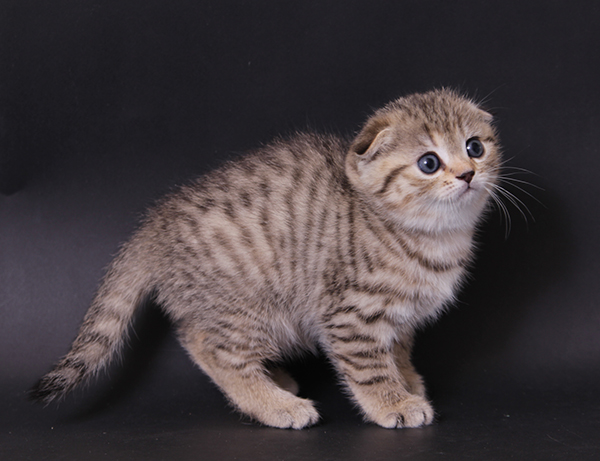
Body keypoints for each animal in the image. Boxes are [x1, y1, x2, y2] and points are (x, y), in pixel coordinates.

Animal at [31, 89, 501, 429]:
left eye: (475, 147)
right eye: (429, 162)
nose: (467, 174)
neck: (430, 236)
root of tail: (155, 223)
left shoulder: (399, 317)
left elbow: (397, 350)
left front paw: (408, 382)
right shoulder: (348, 314)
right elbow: (369, 366)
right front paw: (393, 403)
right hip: (248, 307)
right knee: (208, 346)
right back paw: (277, 405)